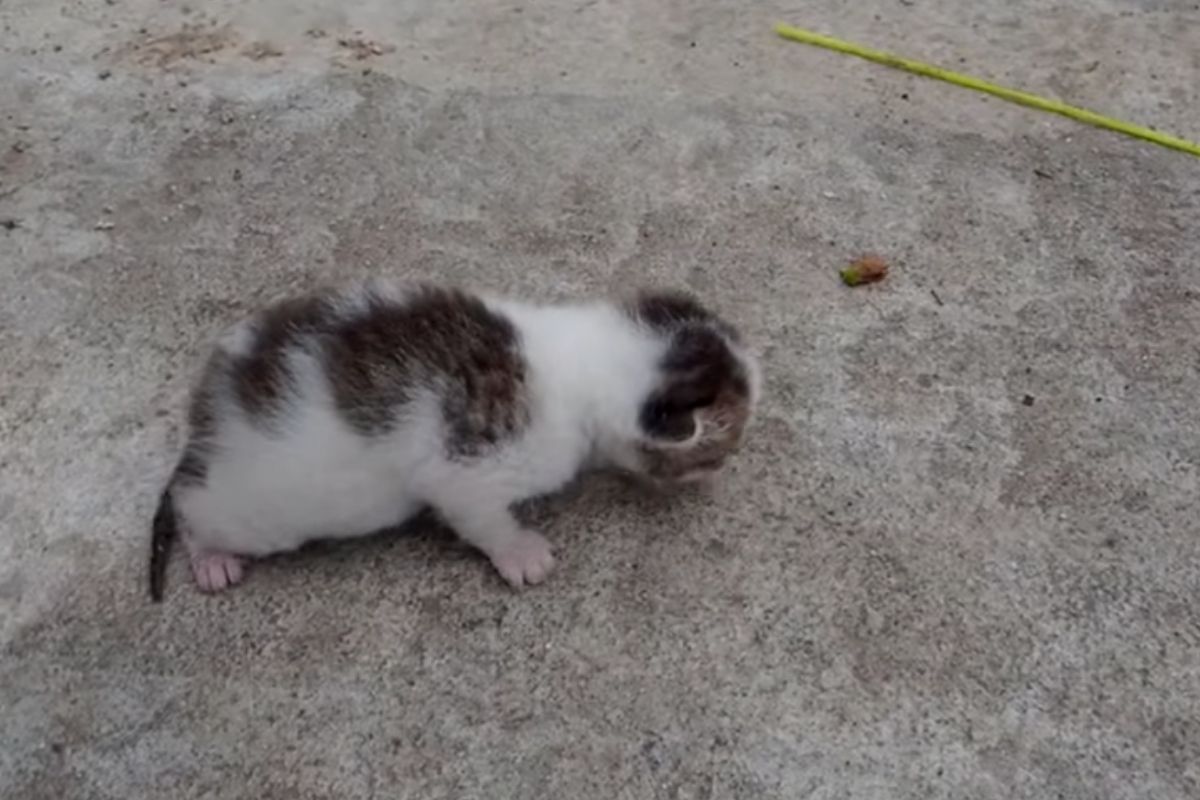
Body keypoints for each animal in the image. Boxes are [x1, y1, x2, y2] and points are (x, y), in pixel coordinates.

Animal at [145, 283, 753, 599]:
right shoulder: (466, 471)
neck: (576, 358)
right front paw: (520, 552)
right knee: (191, 504)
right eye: (720, 451)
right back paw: (211, 557)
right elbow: (479, 517)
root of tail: (207, 413)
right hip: (257, 511)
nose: (722, 471)